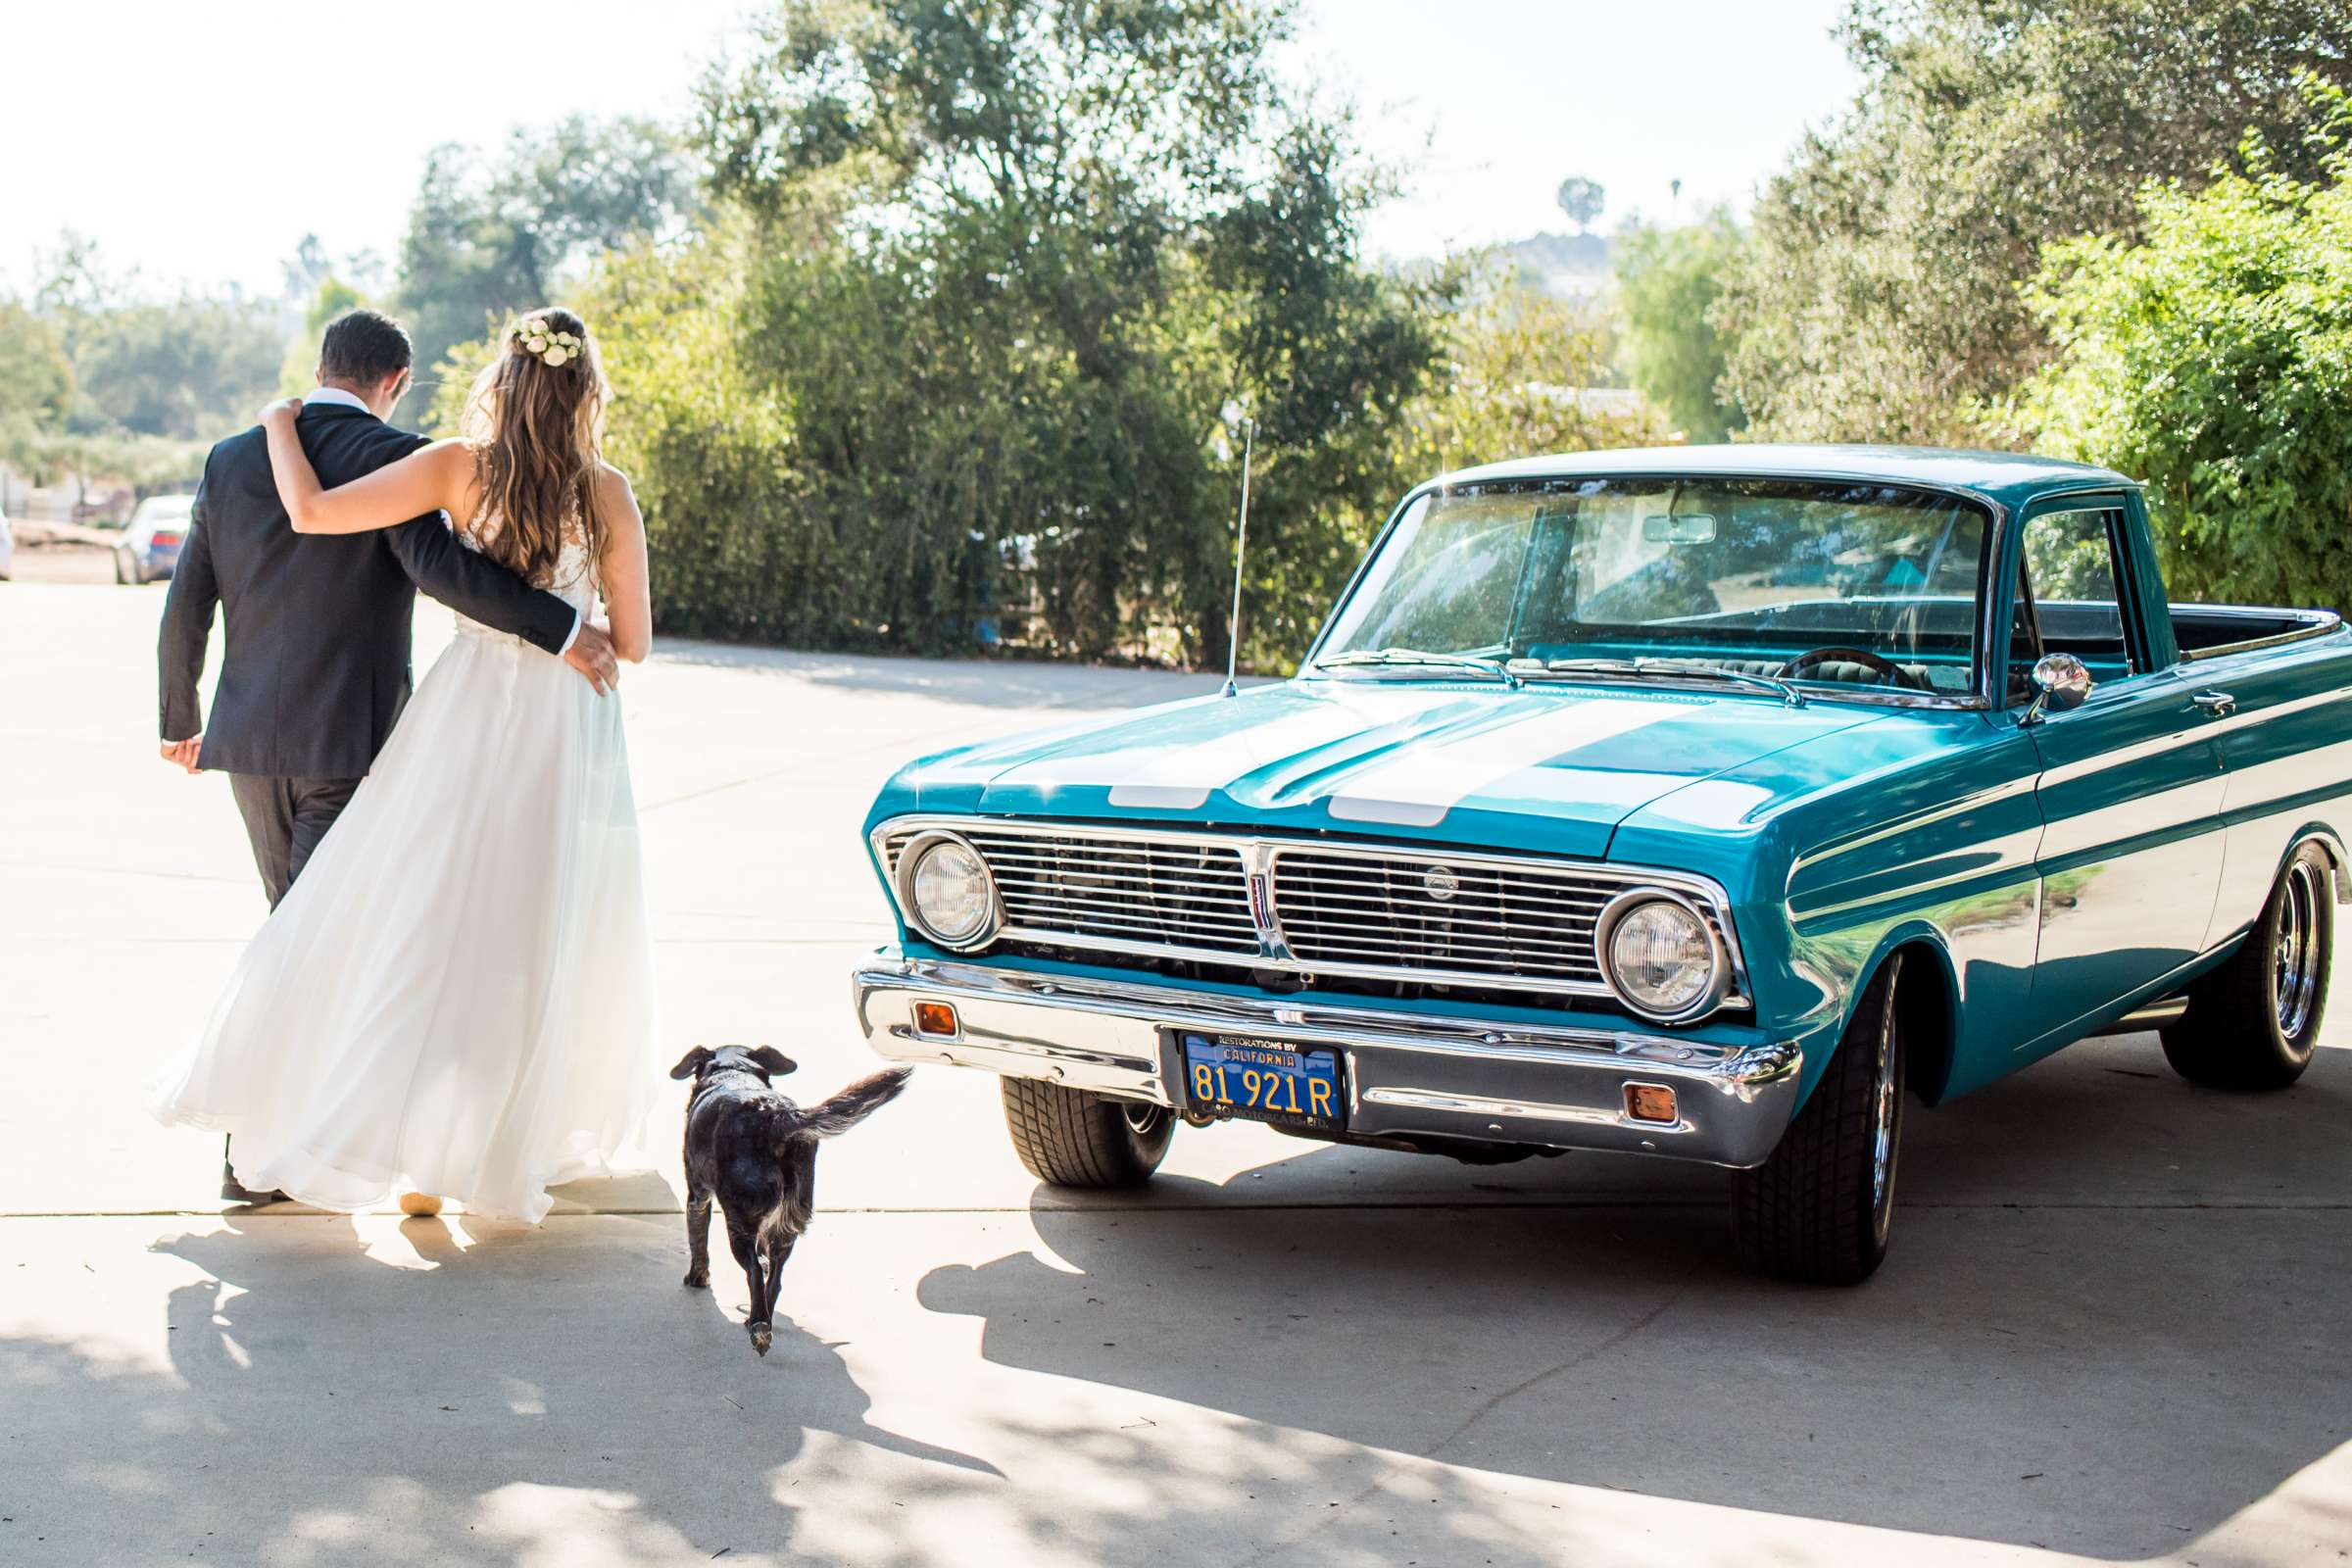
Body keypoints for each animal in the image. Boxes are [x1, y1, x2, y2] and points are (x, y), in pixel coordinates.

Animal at [677, 1048, 912, 1353]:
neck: (733, 1070)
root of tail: (776, 1116)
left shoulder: (697, 1195)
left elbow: (698, 1242)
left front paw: (697, 1277)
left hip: (740, 1220)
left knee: (754, 1272)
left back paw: (759, 1327)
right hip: (789, 1223)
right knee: (774, 1281)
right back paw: (759, 1320)